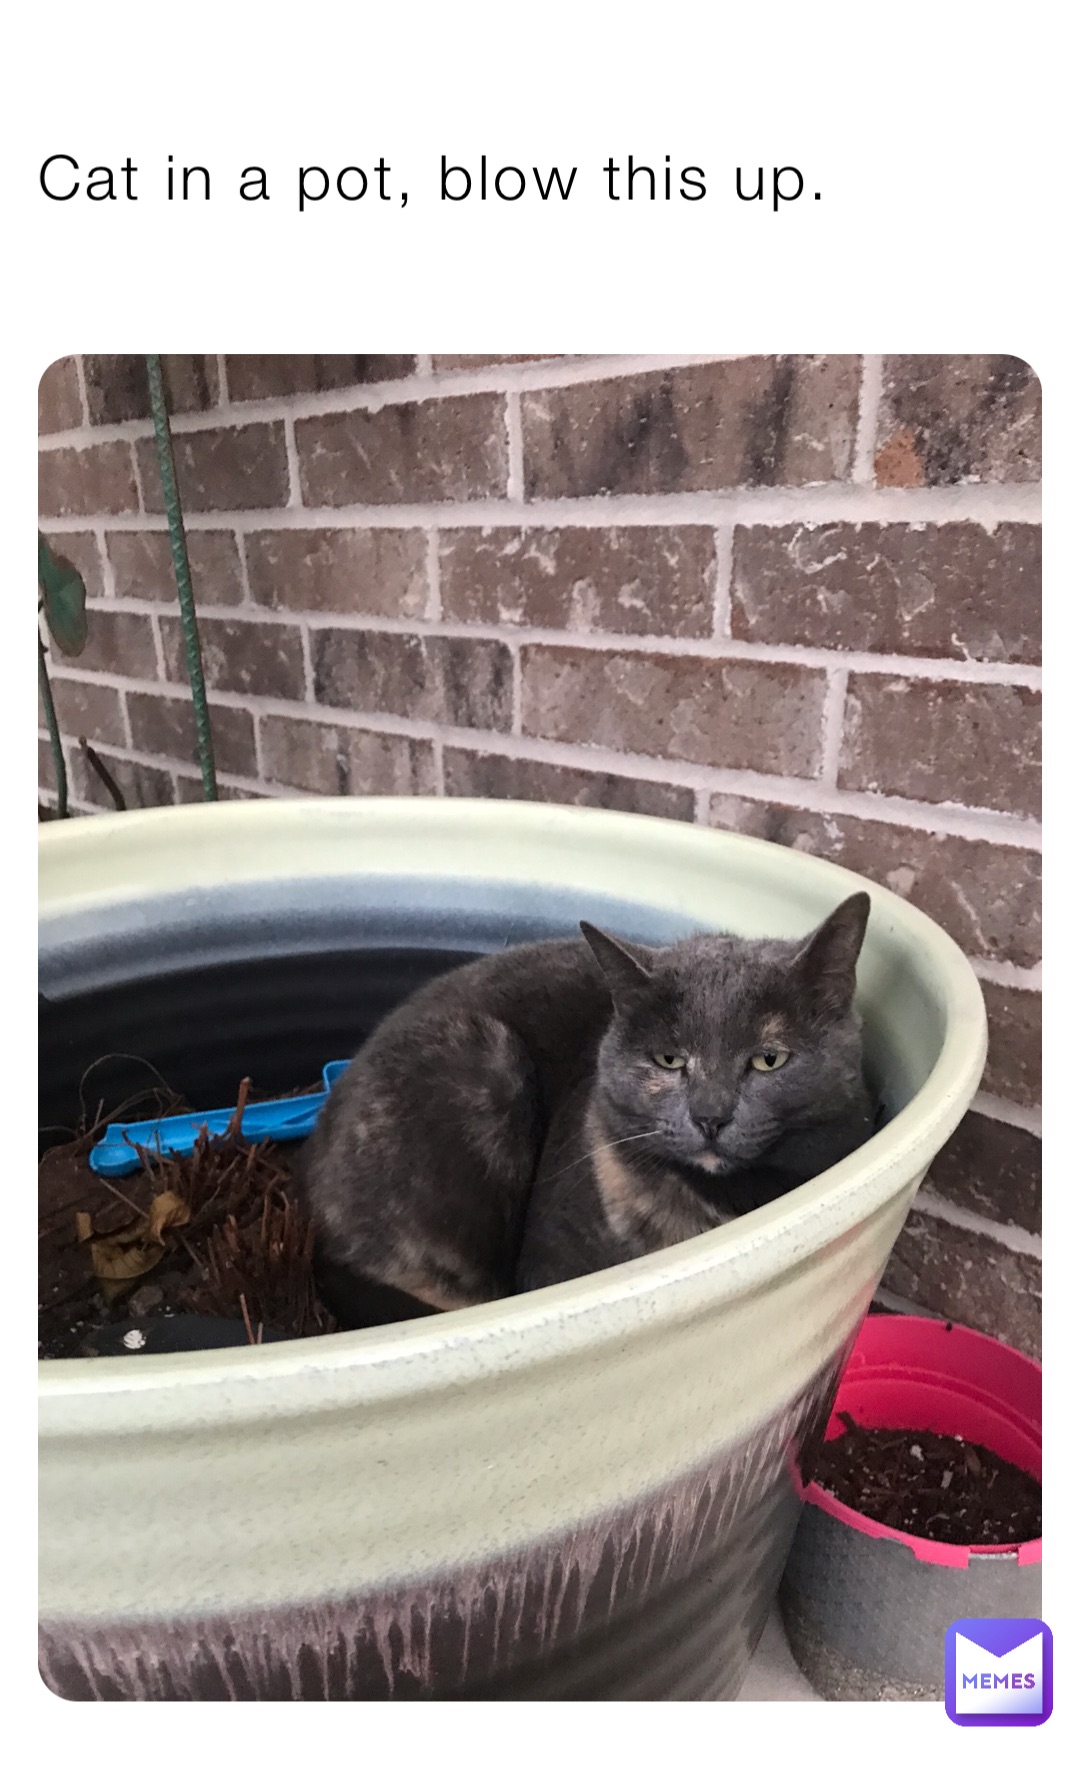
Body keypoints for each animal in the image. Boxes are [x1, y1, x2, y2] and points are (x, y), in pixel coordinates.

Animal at [295, 899, 874, 1331]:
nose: (710, 1115)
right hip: (483, 1061)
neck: (722, 1204)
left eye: (768, 1059)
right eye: (669, 1059)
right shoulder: (549, 1261)